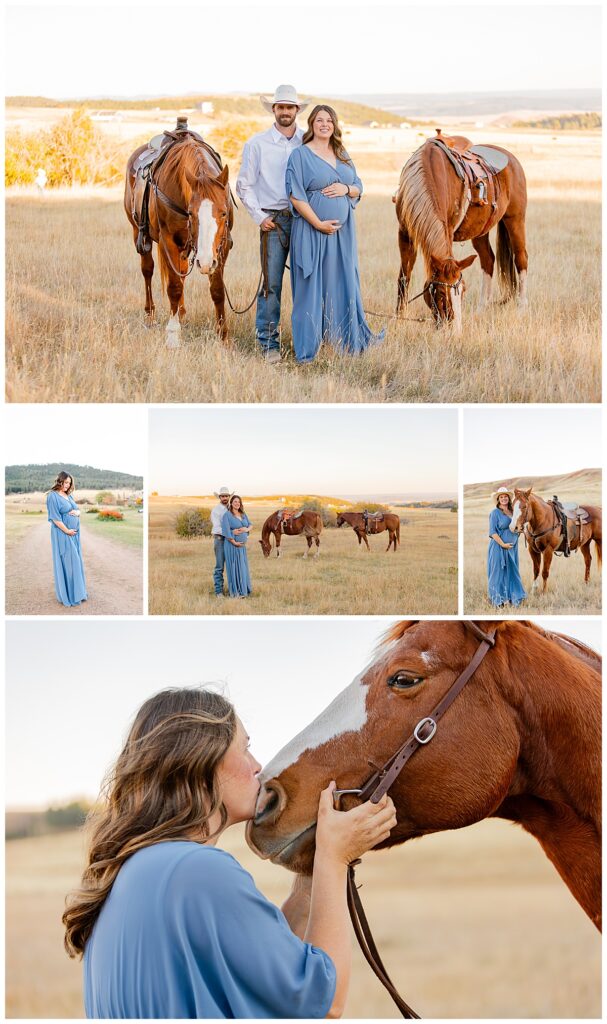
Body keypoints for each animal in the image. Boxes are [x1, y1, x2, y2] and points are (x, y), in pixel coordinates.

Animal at [124, 138, 233, 346]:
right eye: (191, 213)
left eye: (224, 212)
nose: (205, 262)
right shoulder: (169, 242)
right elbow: (174, 287)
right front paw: (173, 335)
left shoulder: (220, 248)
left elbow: (217, 290)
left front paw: (223, 337)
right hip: (138, 233)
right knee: (147, 270)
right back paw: (150, 316)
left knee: (181, 272)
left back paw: (181, 313)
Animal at [393, 131, 524, 331]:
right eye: (440, 293)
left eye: (463, 290)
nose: (455, 330)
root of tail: (512, 159)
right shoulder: (405, 233)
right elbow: (403, 278)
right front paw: (399, 318)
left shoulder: (447, 230)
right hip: (480, 232)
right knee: (488, 260)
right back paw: (480, 310)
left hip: (515, 220)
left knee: (521, 259)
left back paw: (522, 309)